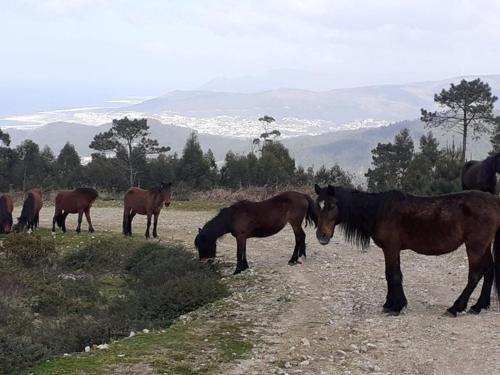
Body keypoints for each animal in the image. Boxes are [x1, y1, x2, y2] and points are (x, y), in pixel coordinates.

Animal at [312, 185, 500, 318]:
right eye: (317, 206)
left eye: (331, 205)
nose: (322, 236)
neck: (379, 210)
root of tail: (494, 201)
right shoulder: (392, 249)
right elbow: (393, 275)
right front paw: (391, 304)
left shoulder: (391, 248)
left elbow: (393, 275)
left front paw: (396, 306)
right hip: (483, 246)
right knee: (489, 271)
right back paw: (478, 306)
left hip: (475, 246)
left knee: (475, 275)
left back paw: (455, 308)